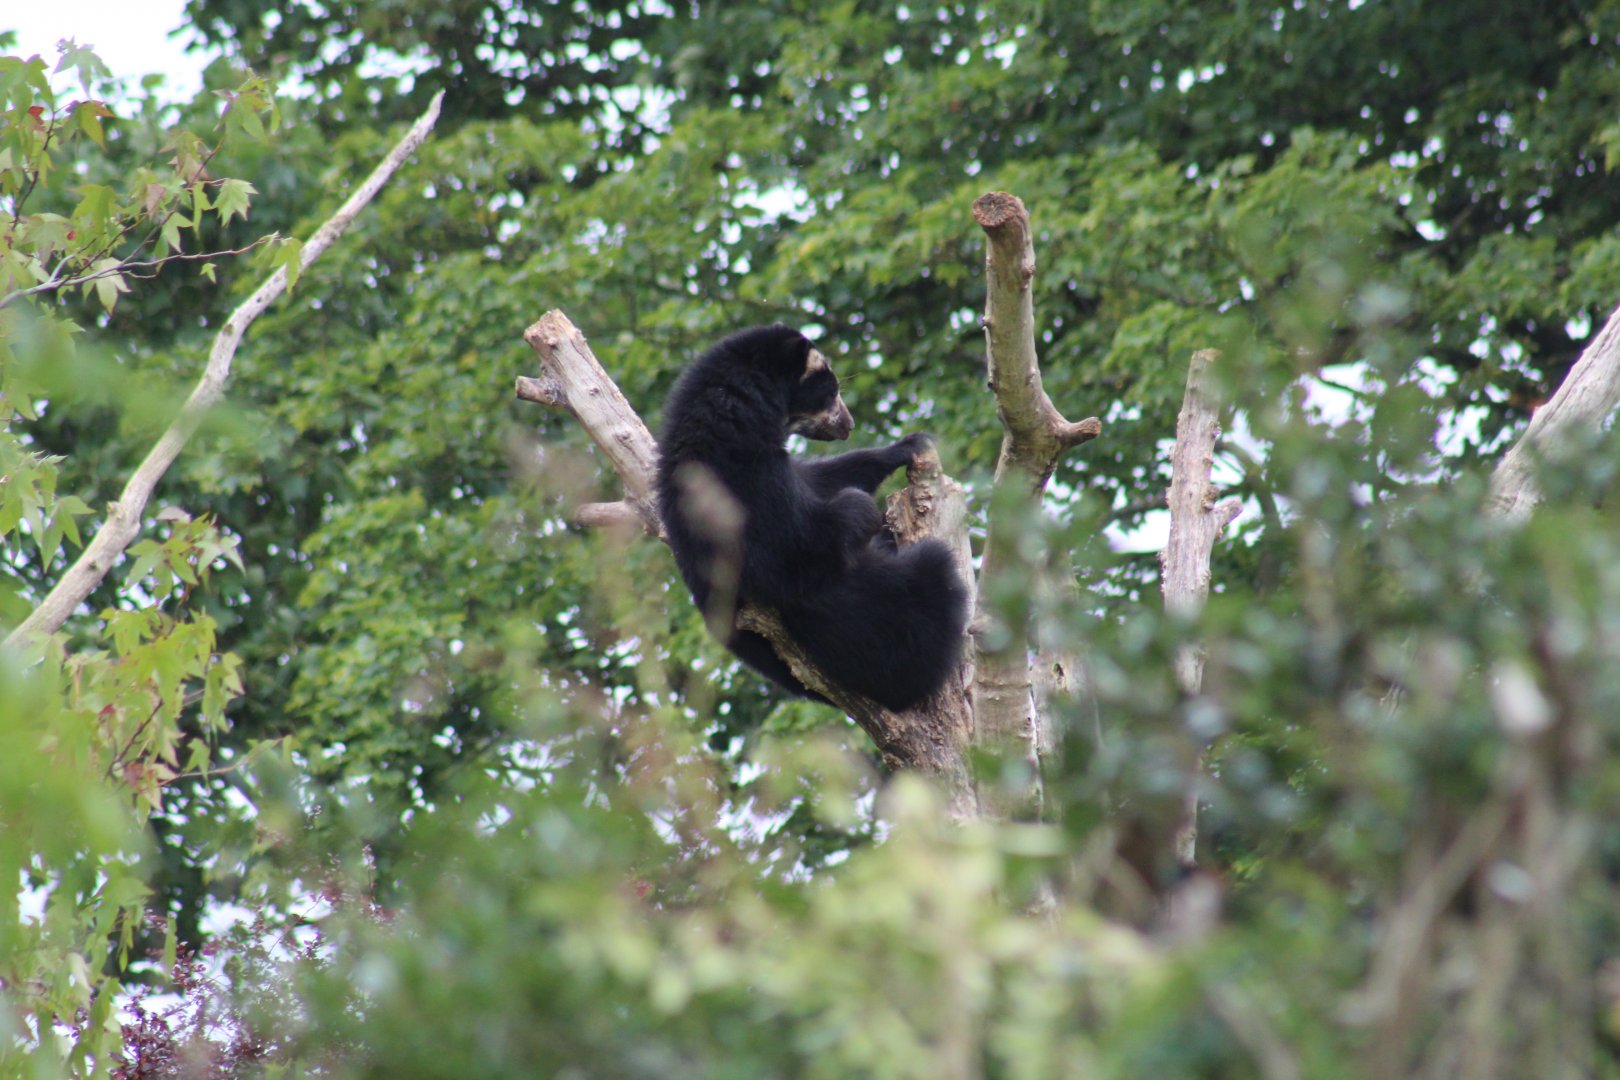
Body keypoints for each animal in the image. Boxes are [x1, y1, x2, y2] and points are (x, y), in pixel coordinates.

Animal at [656, 324, 969, 712]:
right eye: (830, 391)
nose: (848, 424)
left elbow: (820, 478)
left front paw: (908, 445)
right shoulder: (735, 484)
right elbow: (794, 550)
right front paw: (863, 508)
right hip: (886, 631)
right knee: (934, 573)